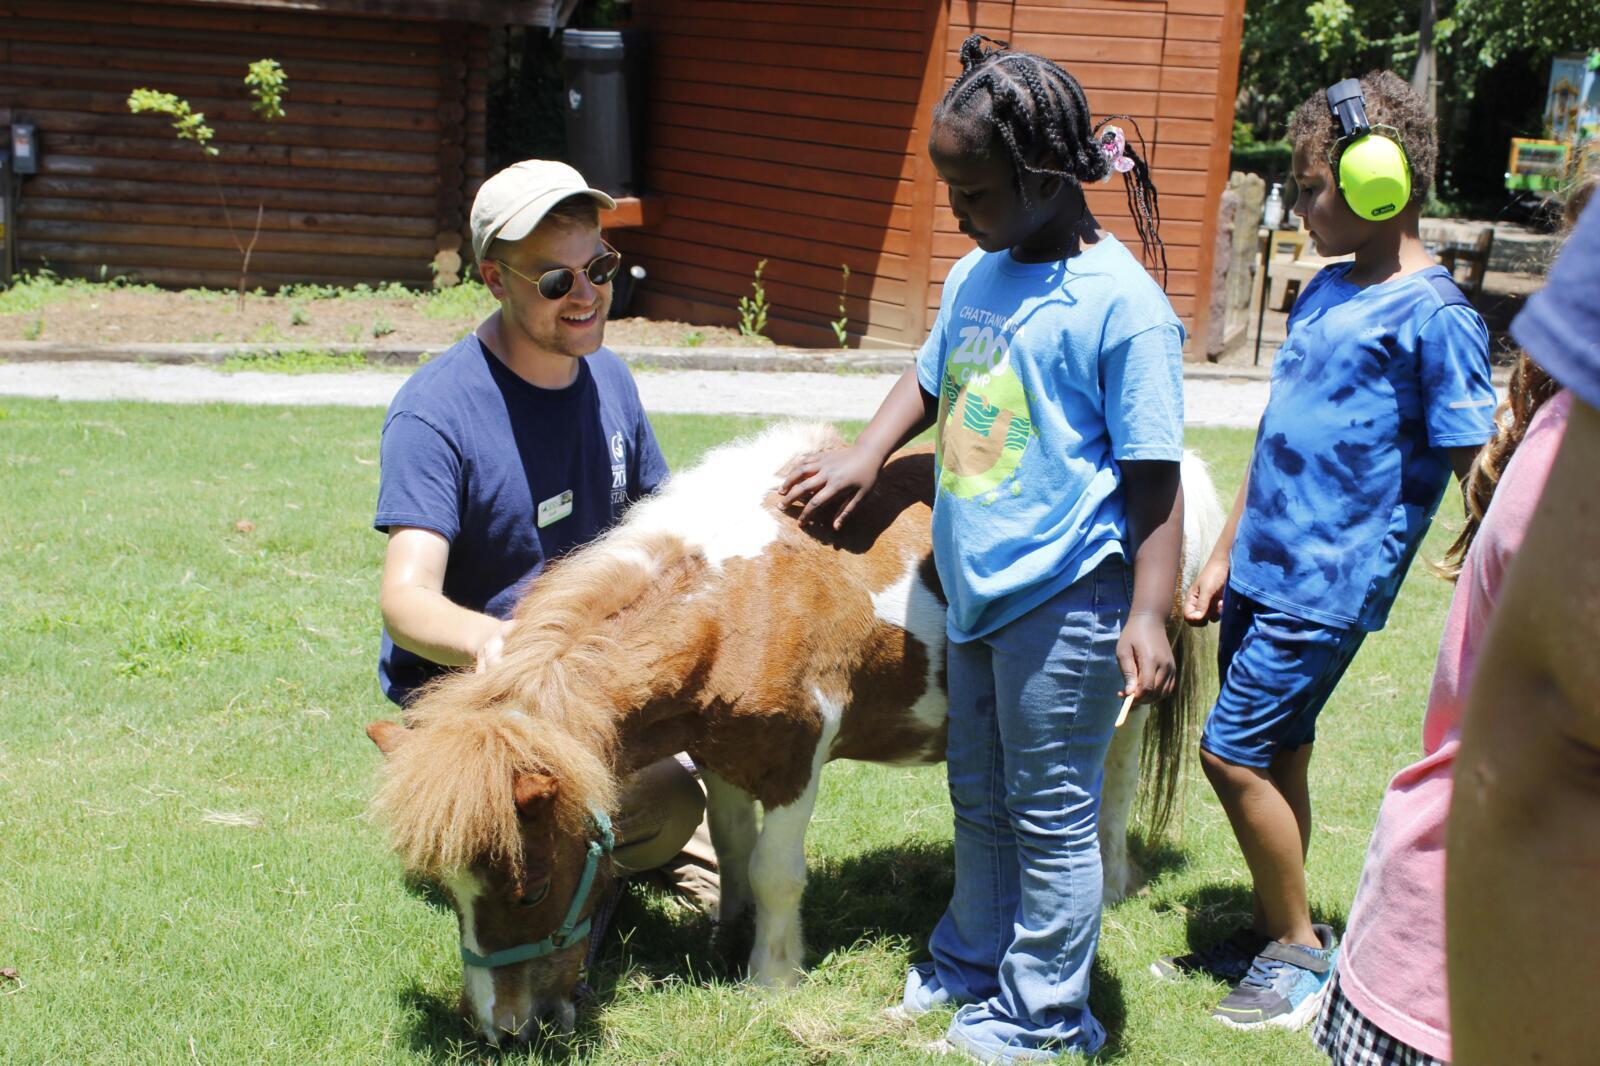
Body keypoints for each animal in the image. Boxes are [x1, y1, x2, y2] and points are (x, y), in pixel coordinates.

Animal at [366, 421, 1224, 1047]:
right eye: (447, 890)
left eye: (532, 887)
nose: (502, 1030)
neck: (738, 600)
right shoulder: (723, 757)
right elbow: (734, 846)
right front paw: (728, 934)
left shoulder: (795, 760)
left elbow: (779, 872)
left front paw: (769, 978)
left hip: (1121, 706)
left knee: (1112, 789)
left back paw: (1111, 884)